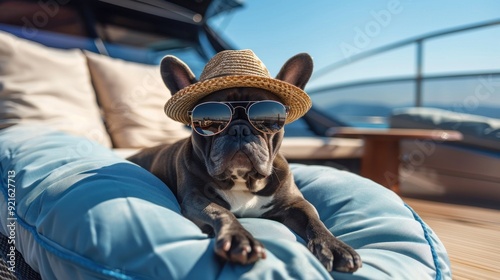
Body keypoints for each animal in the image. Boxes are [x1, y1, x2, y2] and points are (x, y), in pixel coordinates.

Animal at [129, 49, 362, 272]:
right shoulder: (195, 199)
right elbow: (221, 212)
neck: (242, 180)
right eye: (211, 121)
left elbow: (314, 219)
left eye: (266, 119)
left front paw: (334, 246)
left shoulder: (296, 203)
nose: (239, 129)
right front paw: (239, 239)